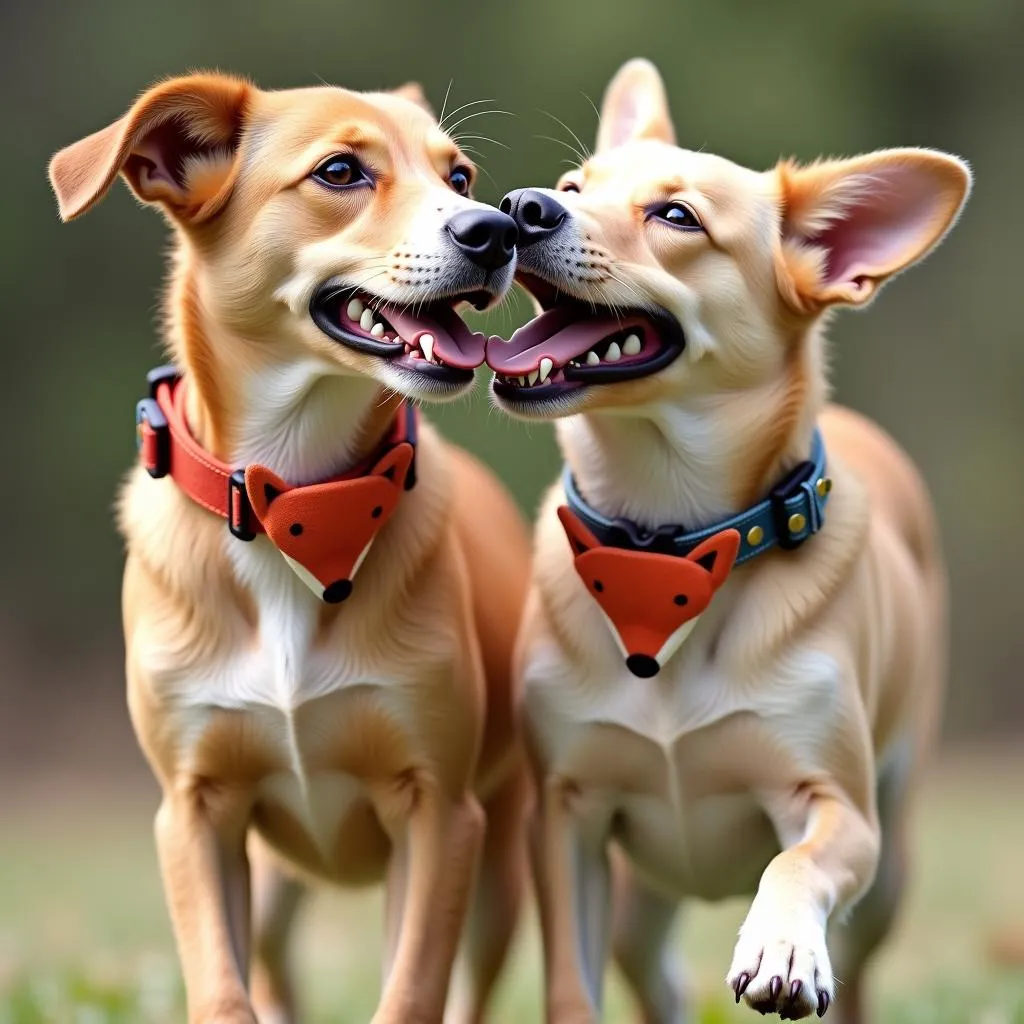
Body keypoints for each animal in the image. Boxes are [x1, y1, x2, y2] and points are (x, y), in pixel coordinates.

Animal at [47, 74, 528, 1024]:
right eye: (340, 172)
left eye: (458, 175)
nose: (495, 229)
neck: (298, 503)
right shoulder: (194, 812)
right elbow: (222, 993)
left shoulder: (439, 813)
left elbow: (411, 993)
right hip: (272, 883)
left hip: (505, 862)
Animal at [485, 58, 966, 1024]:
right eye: (572, 188)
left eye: (676, 216)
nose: (522, 207)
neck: (663, 544)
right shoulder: (566, 815)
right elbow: (571, 985)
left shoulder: (840, 808)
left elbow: (797, 862)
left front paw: (780, 944)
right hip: (642, 894)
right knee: (655, 970)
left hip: (891, 866)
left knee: (856, 965)